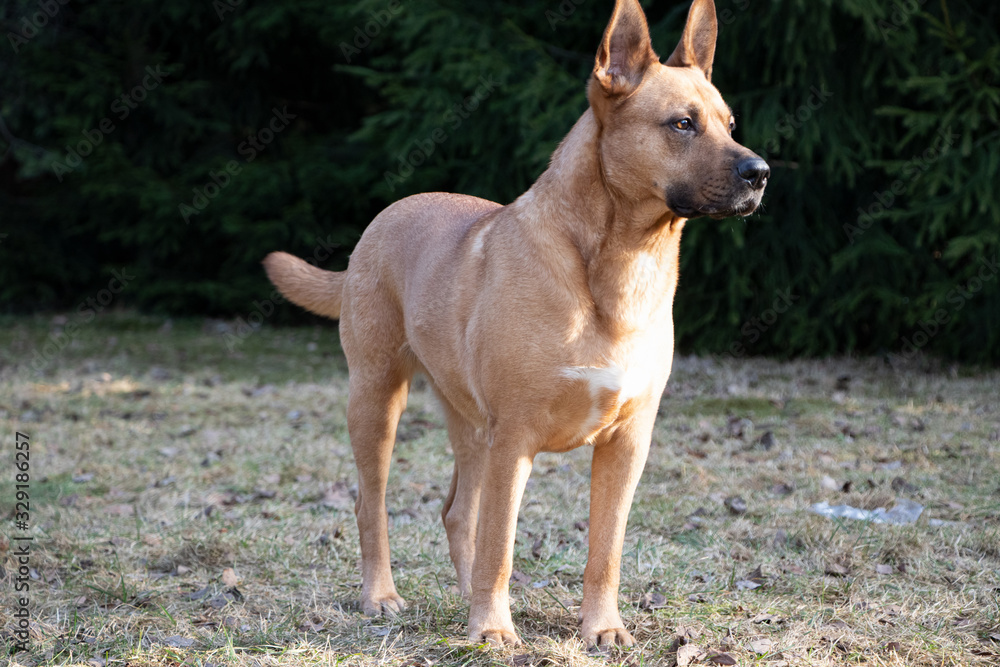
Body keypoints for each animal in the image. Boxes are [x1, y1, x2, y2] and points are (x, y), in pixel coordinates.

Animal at [264, 0, 764, 648]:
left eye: (730, 123)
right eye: (682, 124)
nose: (761, 173)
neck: (621, 263)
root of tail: (383, 218)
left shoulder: (627, 443)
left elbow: (605, 550)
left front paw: (602, 629)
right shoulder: (516, 438)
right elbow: (499, 544)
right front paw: (495, 630)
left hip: (472, 426)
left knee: (457, 513)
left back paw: (462, 598)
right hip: (377, 399)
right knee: (372, 505)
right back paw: (383, 596)